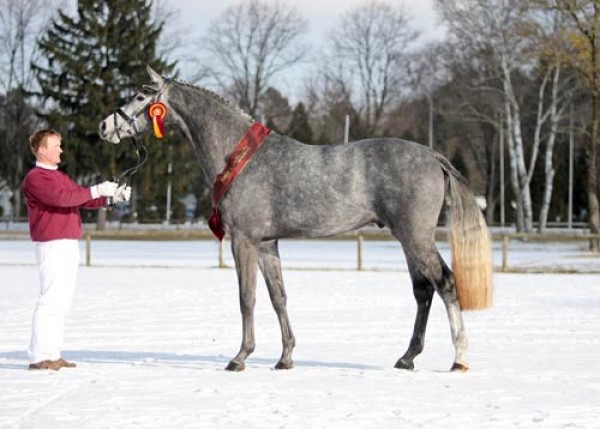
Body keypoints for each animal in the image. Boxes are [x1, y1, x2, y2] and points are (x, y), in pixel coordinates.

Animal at [99, 66, 492, 372]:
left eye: (140, 95)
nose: (105, 127)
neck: (238, 156)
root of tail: (432, 156)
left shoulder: (244, 240)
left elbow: (246, 298)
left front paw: (240, 357)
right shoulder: (267, 244)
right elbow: (278, 297)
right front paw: (285, 357)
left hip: (416, 237)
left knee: (445, 283)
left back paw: (459, 358)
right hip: (408, 239)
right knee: (423, 291)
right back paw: (407, 357)